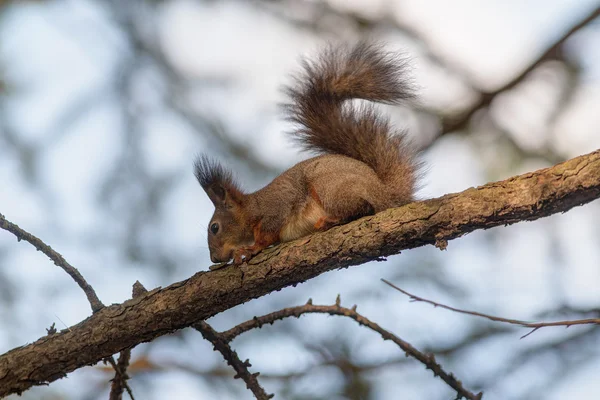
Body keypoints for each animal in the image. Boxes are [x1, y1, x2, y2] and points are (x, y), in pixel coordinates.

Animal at [195, 43, 420, 266]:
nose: (215, 259)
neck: (251, 208)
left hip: (330, 187)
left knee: (360, 207)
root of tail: (385, 193)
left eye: (214, 227)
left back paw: (331, 219)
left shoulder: (275, 209)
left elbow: (268, 233)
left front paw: (251, 248)